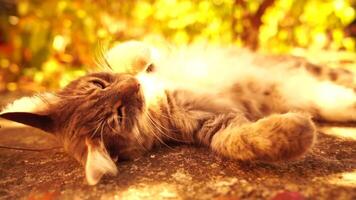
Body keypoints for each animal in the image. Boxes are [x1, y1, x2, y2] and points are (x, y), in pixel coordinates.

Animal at [0, 41, 356, 185]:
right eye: (118, 115)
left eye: (99, 85)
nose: (133, 86)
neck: (158, 97)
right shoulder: (213, 123)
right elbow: (237, 141)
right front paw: (294, 132)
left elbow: (125, 50)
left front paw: (137, 56)